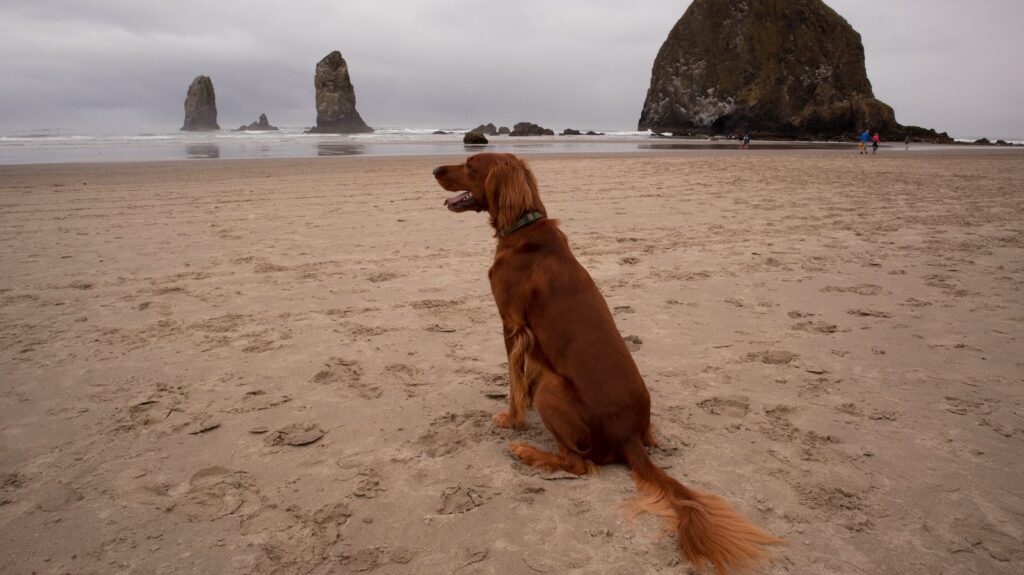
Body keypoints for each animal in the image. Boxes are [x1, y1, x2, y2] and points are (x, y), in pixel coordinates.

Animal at [434, 153, 782, 572]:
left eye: (471, 164)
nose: (435, 170)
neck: (524, 227)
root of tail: (629, 436)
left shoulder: (512, 324)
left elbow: (515, 382)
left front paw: (511, 418)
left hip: (554, 390)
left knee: (578, 464)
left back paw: (528, 452)